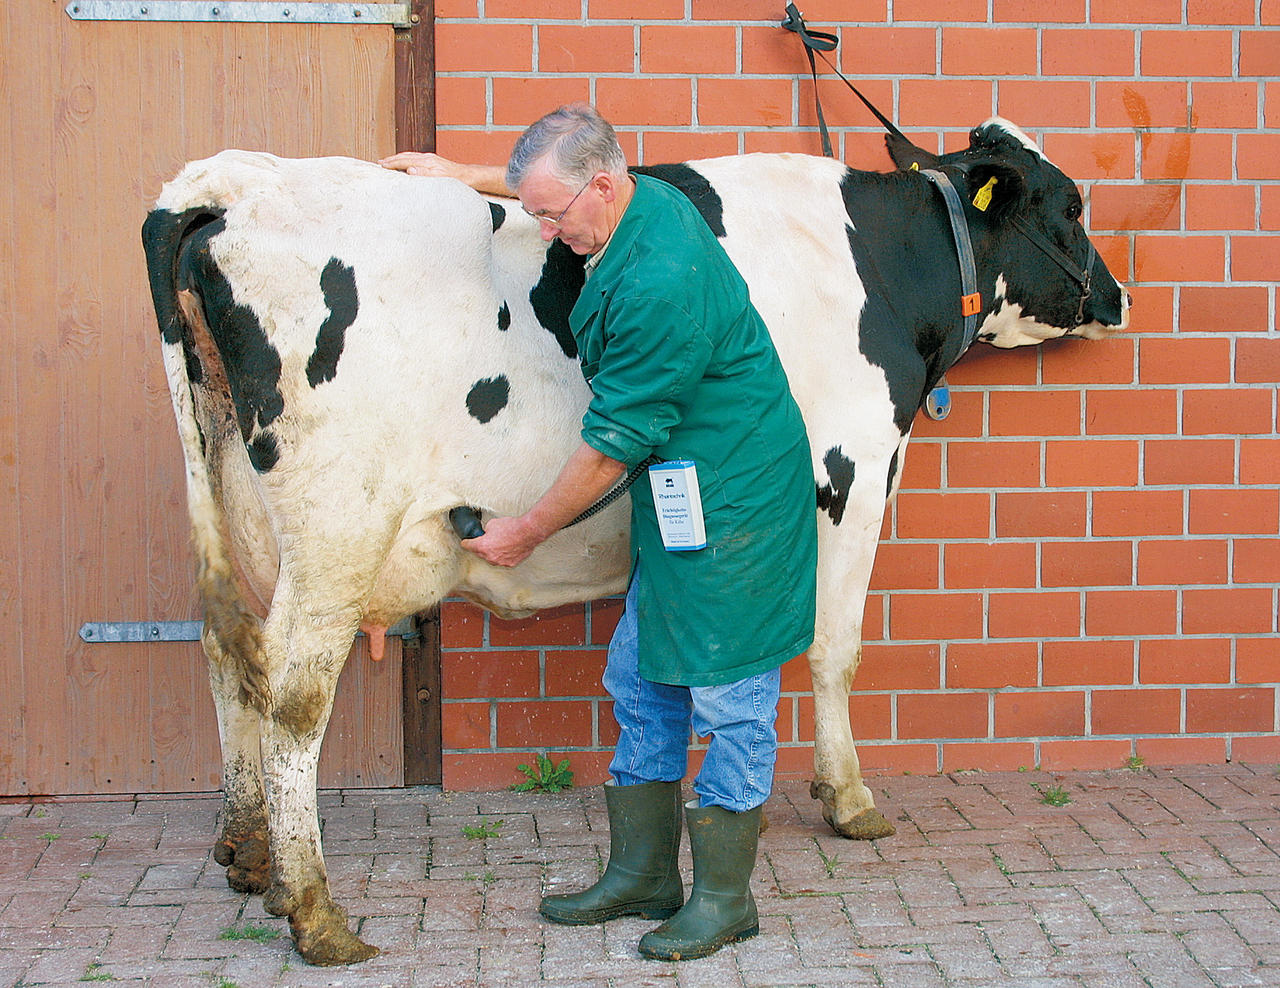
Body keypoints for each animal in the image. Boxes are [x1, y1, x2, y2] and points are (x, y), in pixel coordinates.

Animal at [142, 121, 1131, 962]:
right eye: (1071, 205)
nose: (1118, 297)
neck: (878, 269)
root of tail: (234, 180)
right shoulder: (851, 478)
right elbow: (834, 648)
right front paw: (848, 799)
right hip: (337, 532)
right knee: (292, 696)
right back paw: (316, 912)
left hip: (234, 501)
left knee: (233, 656)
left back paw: (252, 856)